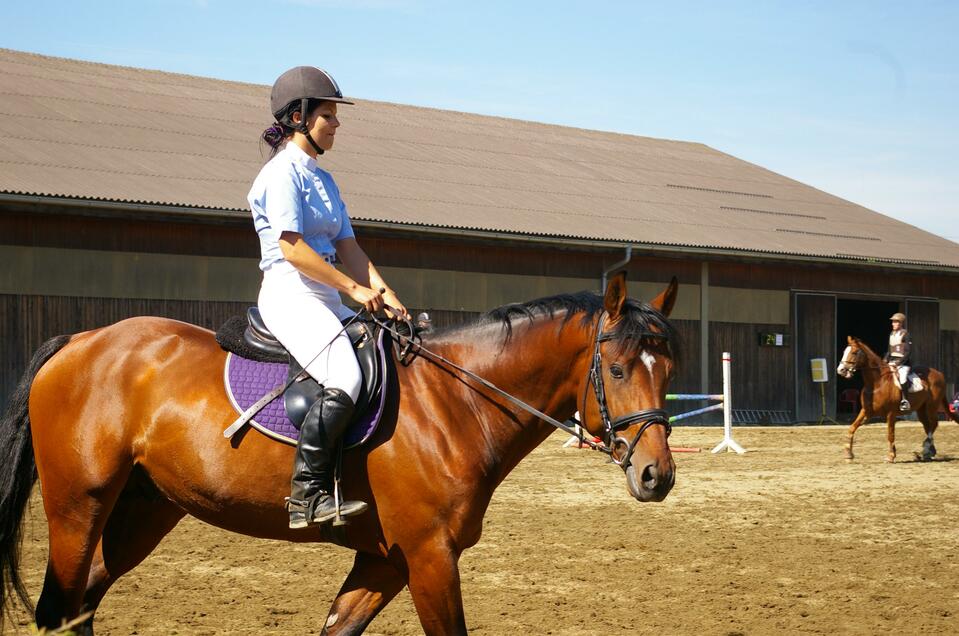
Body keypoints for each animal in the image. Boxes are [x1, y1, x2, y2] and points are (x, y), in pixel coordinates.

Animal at [0, 274, 680, 636]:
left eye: (668, 370)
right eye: (618, 369)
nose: (657, 477)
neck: (457, 402)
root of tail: (82, 340)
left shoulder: (385, 560)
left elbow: (338, 626)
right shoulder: (429, 556)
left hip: (144, 510)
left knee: (82, 603)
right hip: (78, 506)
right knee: (58, 606)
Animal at [836, 336, 956, 464]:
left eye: (854, 352)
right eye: (844, 352)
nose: (841, 370)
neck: (876, 383)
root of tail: (940, 374)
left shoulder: (891, 413)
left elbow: (890, 434)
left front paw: (891, 456)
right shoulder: (866, 412)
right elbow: (851, 428)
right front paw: (848, 454)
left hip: (931, 406)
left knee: (933, 423)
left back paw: (926, 449)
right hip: (921, 409)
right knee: (928, 425)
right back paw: (928, 452)